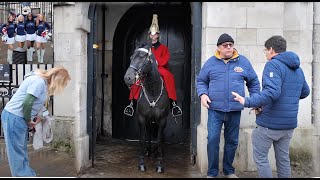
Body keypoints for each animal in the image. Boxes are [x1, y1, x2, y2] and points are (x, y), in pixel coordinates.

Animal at [124, 42, 171, 173]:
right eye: (131, 57)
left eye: (141, 57)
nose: (127, 78)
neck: (153, 91)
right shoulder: (142, 118)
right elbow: (142, 139)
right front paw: (141, 163)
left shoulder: (162, 120)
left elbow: (159, 140)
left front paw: (159, 164)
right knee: (149, 133)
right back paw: (149, 151)